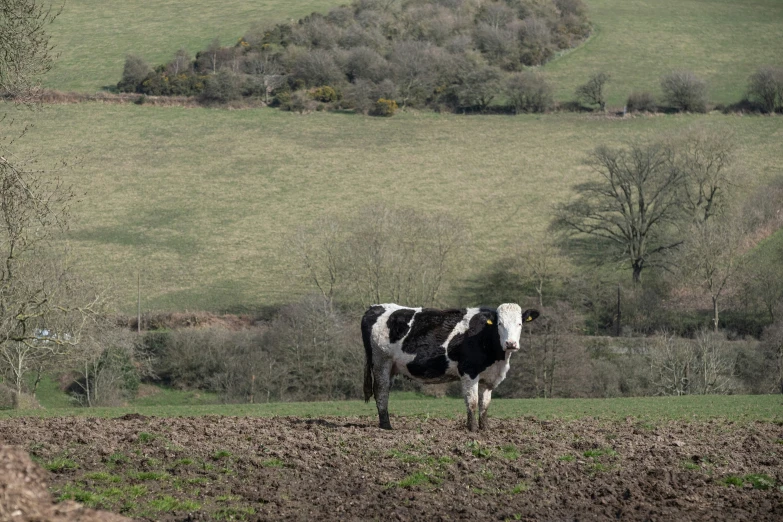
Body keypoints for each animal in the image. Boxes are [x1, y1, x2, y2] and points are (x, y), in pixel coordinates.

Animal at [362, 302, 540, 428]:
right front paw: (472, 429)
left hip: (391, 366)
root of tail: (375, 307)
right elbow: (472, 402)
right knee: (381, 392)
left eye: (519, 324)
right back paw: (386, 427)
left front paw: (484, 429)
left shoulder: (489, 378)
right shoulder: (469, 372)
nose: (511, 343)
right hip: (381, 361)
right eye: (500, 324)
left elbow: (485, 405)